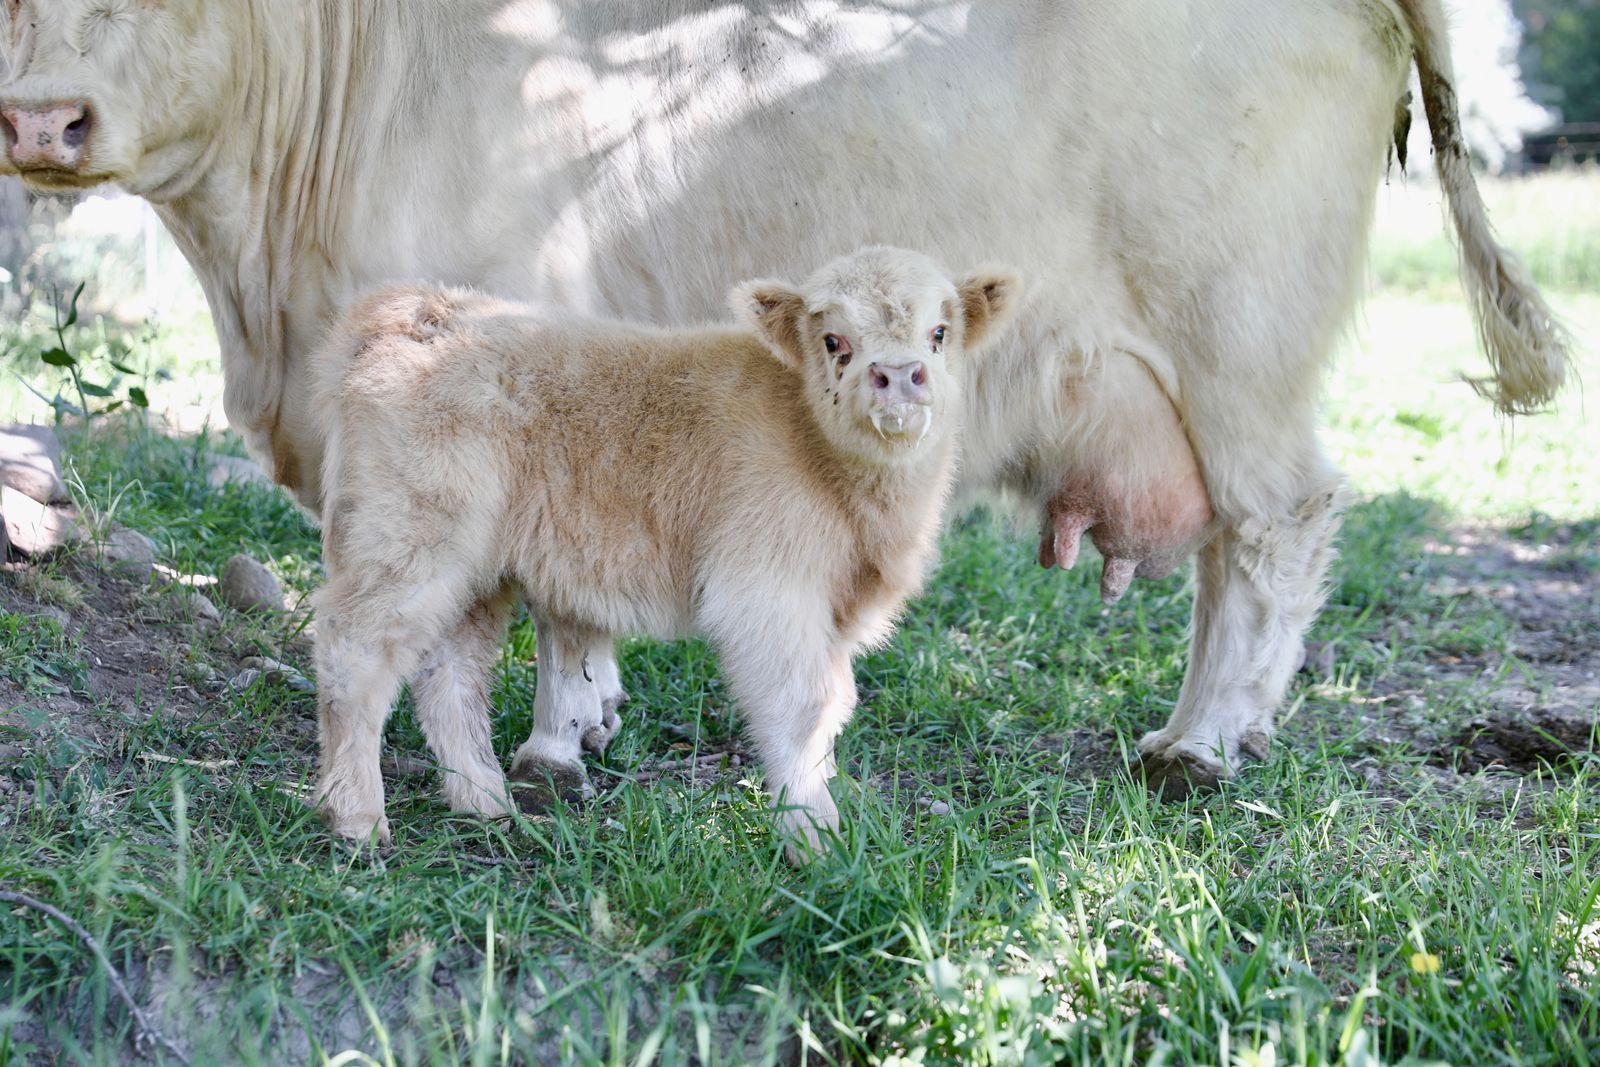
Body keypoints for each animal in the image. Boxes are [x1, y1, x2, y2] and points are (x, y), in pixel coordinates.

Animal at [310, 247, 1019, 858]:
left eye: (939, 333)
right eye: (833, 341)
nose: (897, 375)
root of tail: (412, 308)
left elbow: (832, 708)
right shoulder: (765, 593)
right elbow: (803, 708)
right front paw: (816, 835)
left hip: (472, 569)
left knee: (450, 674)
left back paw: (485, 802)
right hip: (408, 538)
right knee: (356, 651)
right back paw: (357, 818)